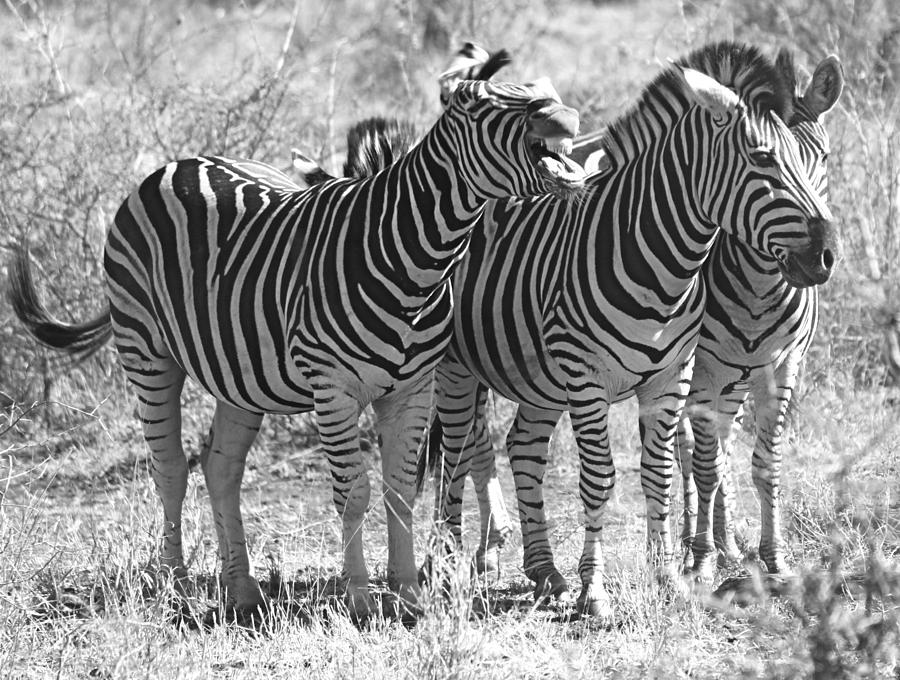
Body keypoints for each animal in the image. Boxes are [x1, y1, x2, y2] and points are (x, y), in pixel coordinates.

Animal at [10, 71, 588, 620]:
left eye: (543, 90)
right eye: (481, 105)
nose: (569, 116)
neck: (415, 257)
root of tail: (178, 164)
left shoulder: (412, 386)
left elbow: (400, 490)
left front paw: (408, 597)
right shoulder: (332, 388)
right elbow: (354, 494)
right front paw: (361, 600)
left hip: (237, 375)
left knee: (221, 468)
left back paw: (241, 590)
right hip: (146, 351)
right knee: (170, 469)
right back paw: (175, 587)